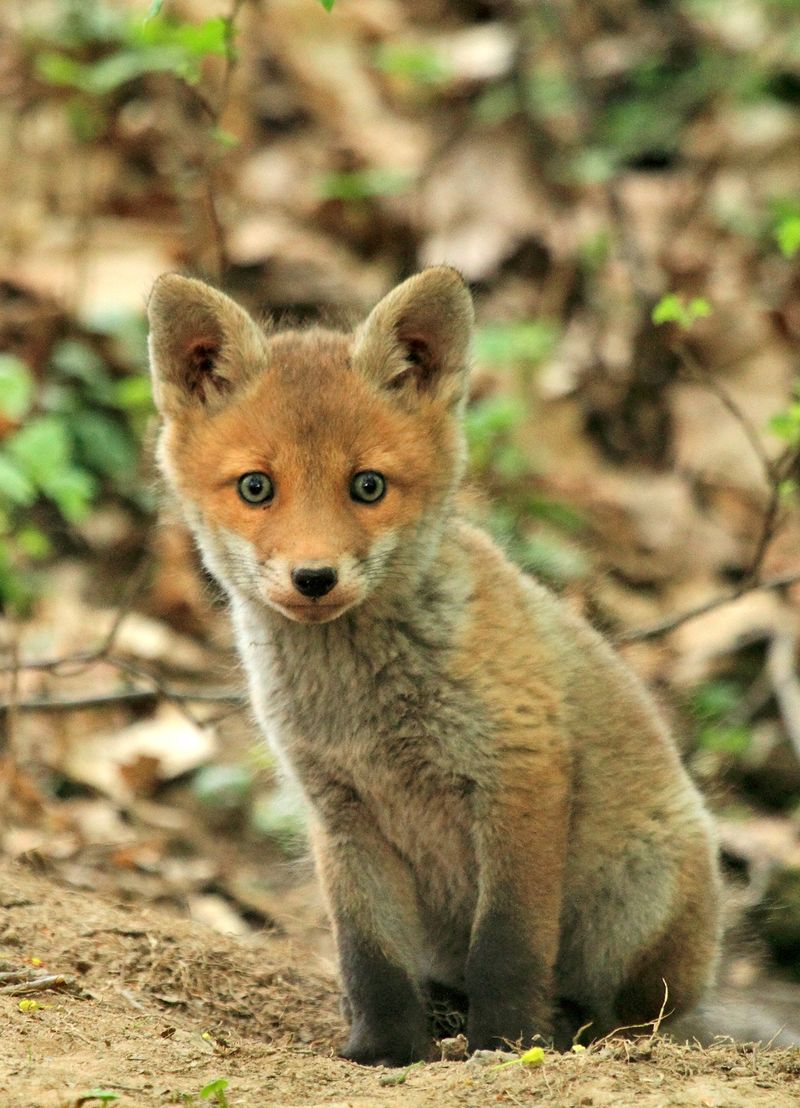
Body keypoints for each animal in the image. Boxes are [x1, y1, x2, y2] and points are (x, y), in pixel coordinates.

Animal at [146, 265, 718, 1063]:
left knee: (636, 1016)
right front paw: (385, 1050)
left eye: (368, 486)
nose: (314, 578)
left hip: (640, 902)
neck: (364, 713)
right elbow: (369, 959)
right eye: (256, 487)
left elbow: (507, 948)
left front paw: (506, 1043)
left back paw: (569, 1026)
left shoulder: (520, 772)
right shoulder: (340, 811)